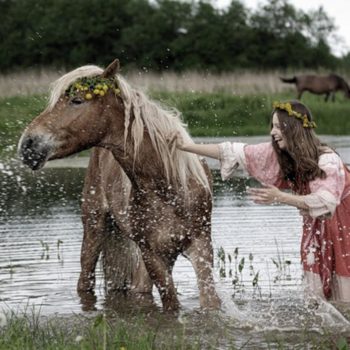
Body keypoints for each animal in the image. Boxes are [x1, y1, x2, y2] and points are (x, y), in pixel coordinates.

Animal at [17, 58, 220, 312]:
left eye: (77, 100)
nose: (27, 144)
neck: (169, 185)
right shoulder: (153, 255)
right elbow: (171, 303)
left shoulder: (201, 247)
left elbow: (209, 303)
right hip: (95, 228)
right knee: (85, 282)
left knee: (138, 289)